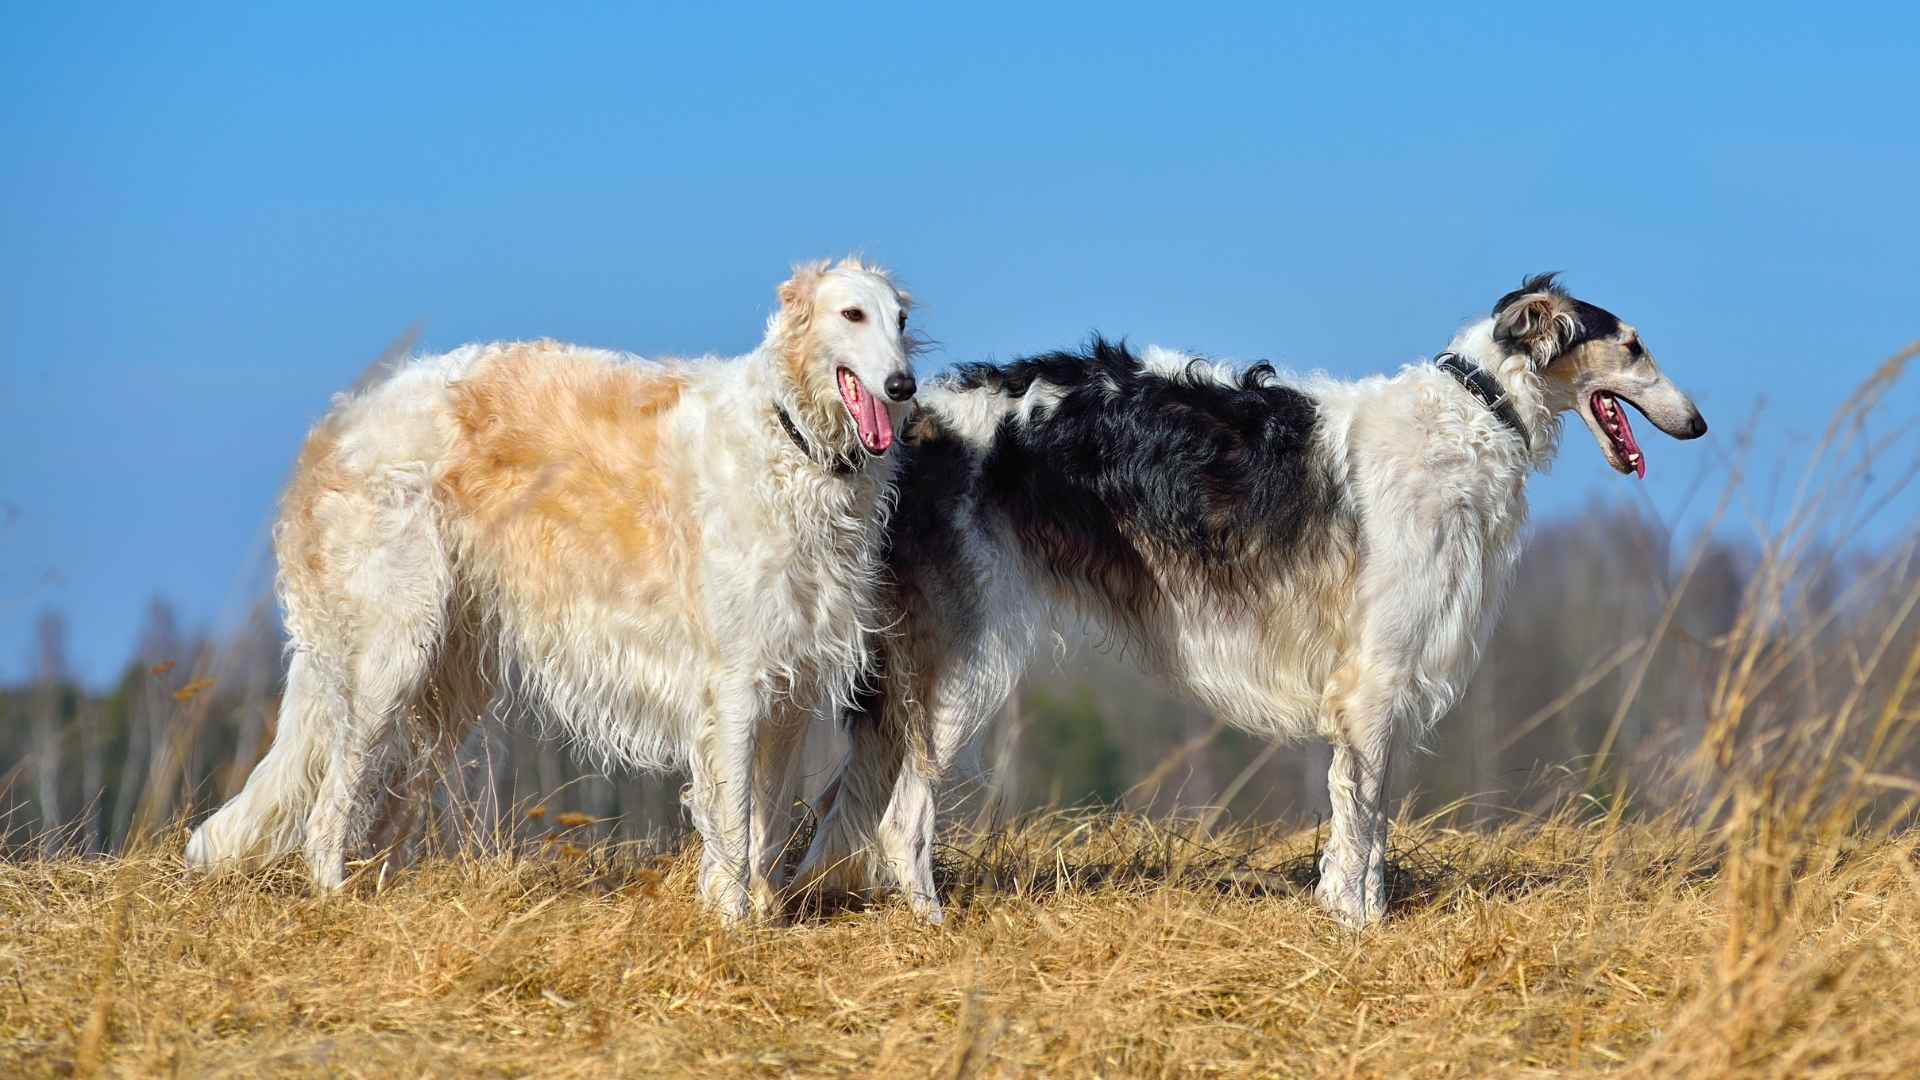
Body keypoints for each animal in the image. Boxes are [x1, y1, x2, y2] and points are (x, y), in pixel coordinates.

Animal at [183, 259, 917, 914]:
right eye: (852, 314)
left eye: (902, 320)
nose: (903, 385)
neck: (790, 444)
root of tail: (336, 427)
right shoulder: (736, 684)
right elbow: (735, 824)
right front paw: (732, 925)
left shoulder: (792, 683)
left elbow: (765, 829)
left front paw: (764, 920)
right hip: (390, 654)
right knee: (328, 809)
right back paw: (336, 898)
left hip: (444, 682)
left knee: (384, 804)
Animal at [794, 272, 1712, 922]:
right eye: (1633, 345)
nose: (1698, 423)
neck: (1474, 415)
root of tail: (915, 426)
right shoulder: (1375, 682)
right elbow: (1364, 822)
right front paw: (1360, 926)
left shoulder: (1377, 691)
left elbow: (1361, 822)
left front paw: (1344, 910)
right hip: (964, 665)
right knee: (901, 820)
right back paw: (932, 923)